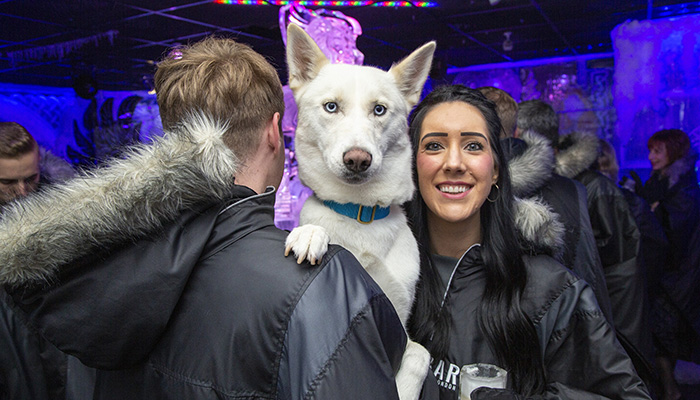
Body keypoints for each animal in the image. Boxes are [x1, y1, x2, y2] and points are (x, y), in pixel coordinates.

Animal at [284, 25, 434, 400]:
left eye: (379, 110)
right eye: (331, 107)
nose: (357, 159)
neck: (359, 213)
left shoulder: (401, 324)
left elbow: (420, 355)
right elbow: (313, 227)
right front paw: (311, 234)